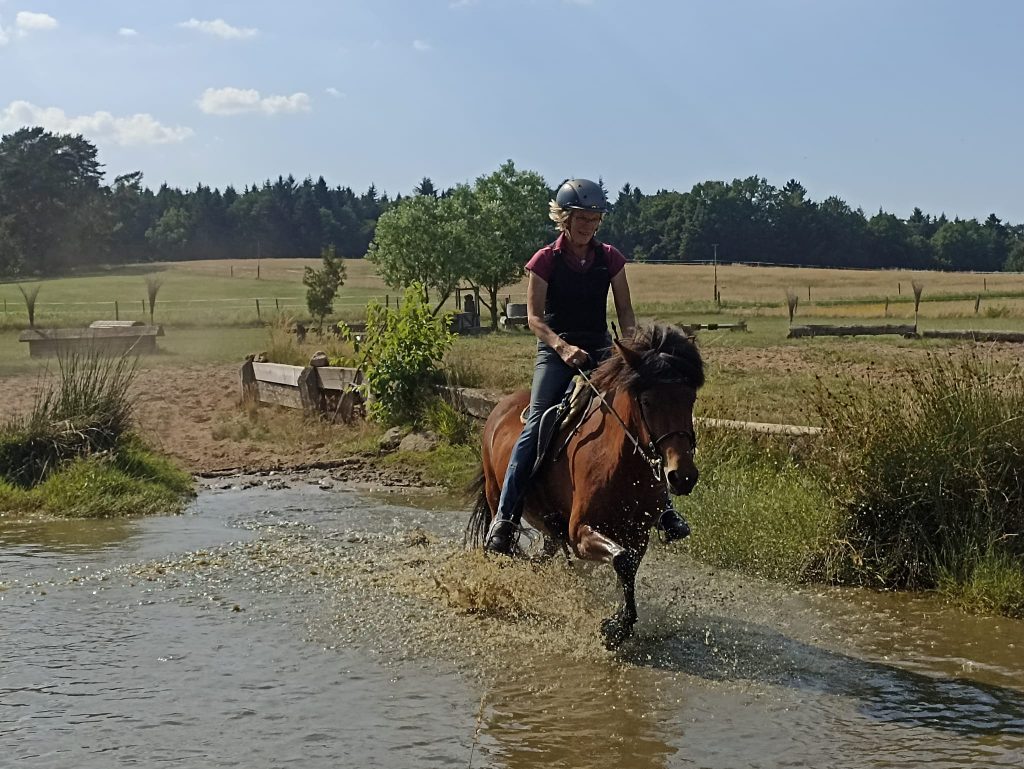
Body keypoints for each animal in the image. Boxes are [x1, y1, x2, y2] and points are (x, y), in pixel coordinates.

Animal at [468, 321, 704, 647]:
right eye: (647, 401)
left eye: (690, 398)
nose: (682, 475)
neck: (621, 467)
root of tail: (498, 408)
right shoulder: (580, 531)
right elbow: (622, 561)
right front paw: (616, 627)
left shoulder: (638, 534)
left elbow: (628, 566)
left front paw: (620, 621)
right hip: (496, 495)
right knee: (501, 530)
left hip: (550, 525)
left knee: (547, 553)